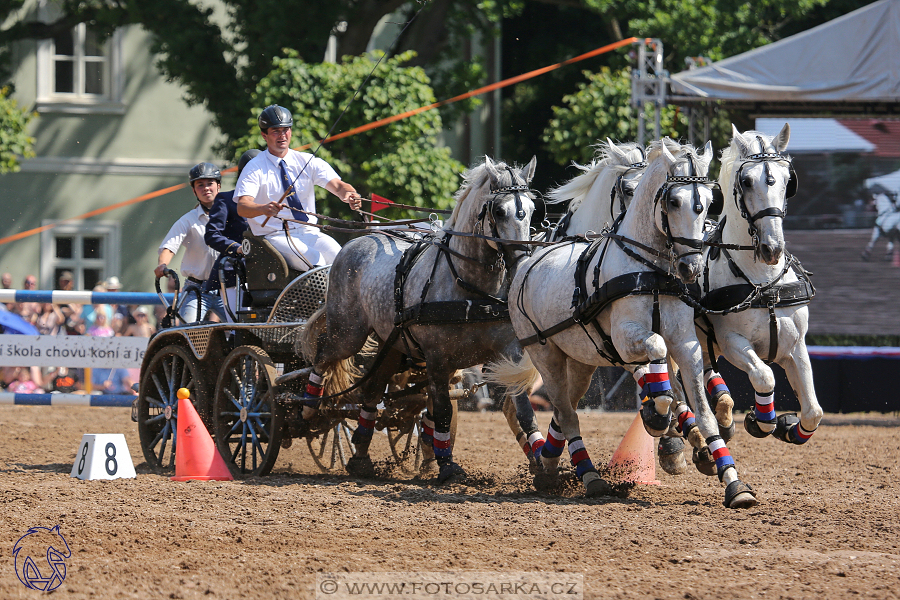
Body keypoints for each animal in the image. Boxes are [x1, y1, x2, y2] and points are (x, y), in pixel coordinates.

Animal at [302, 156, 536, 482]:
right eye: (499, 211)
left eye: (532, 209)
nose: (522, 259)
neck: (469, 288)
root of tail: (355, 243)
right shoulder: (437, 358)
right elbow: (443, 411)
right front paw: (447, 466)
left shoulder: (508, 351)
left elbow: (522, 406)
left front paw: (544, 462)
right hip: (348, 332)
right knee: (324, 354)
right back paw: (310, 407)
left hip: (391, 344)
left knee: (372, 391)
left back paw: (361, 456)